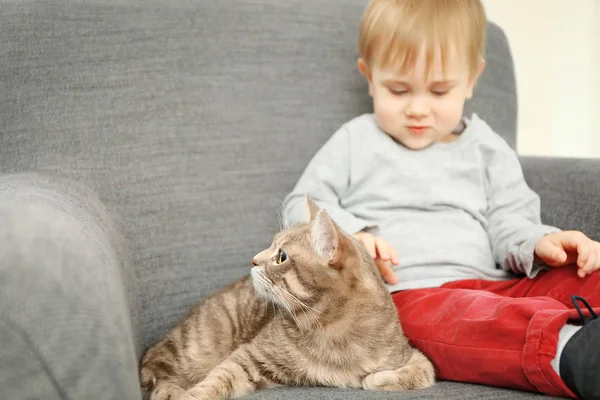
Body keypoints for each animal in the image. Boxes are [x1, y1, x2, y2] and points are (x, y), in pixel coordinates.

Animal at [139, 196, 434, 400]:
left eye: (281, 256)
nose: (253, 260)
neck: (330, 332)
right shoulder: (249, 357)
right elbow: (214, 381)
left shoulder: (413, 357)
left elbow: (419, 373)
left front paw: (375, 379)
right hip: (198, 347)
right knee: (154, 362)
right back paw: (169, 390)